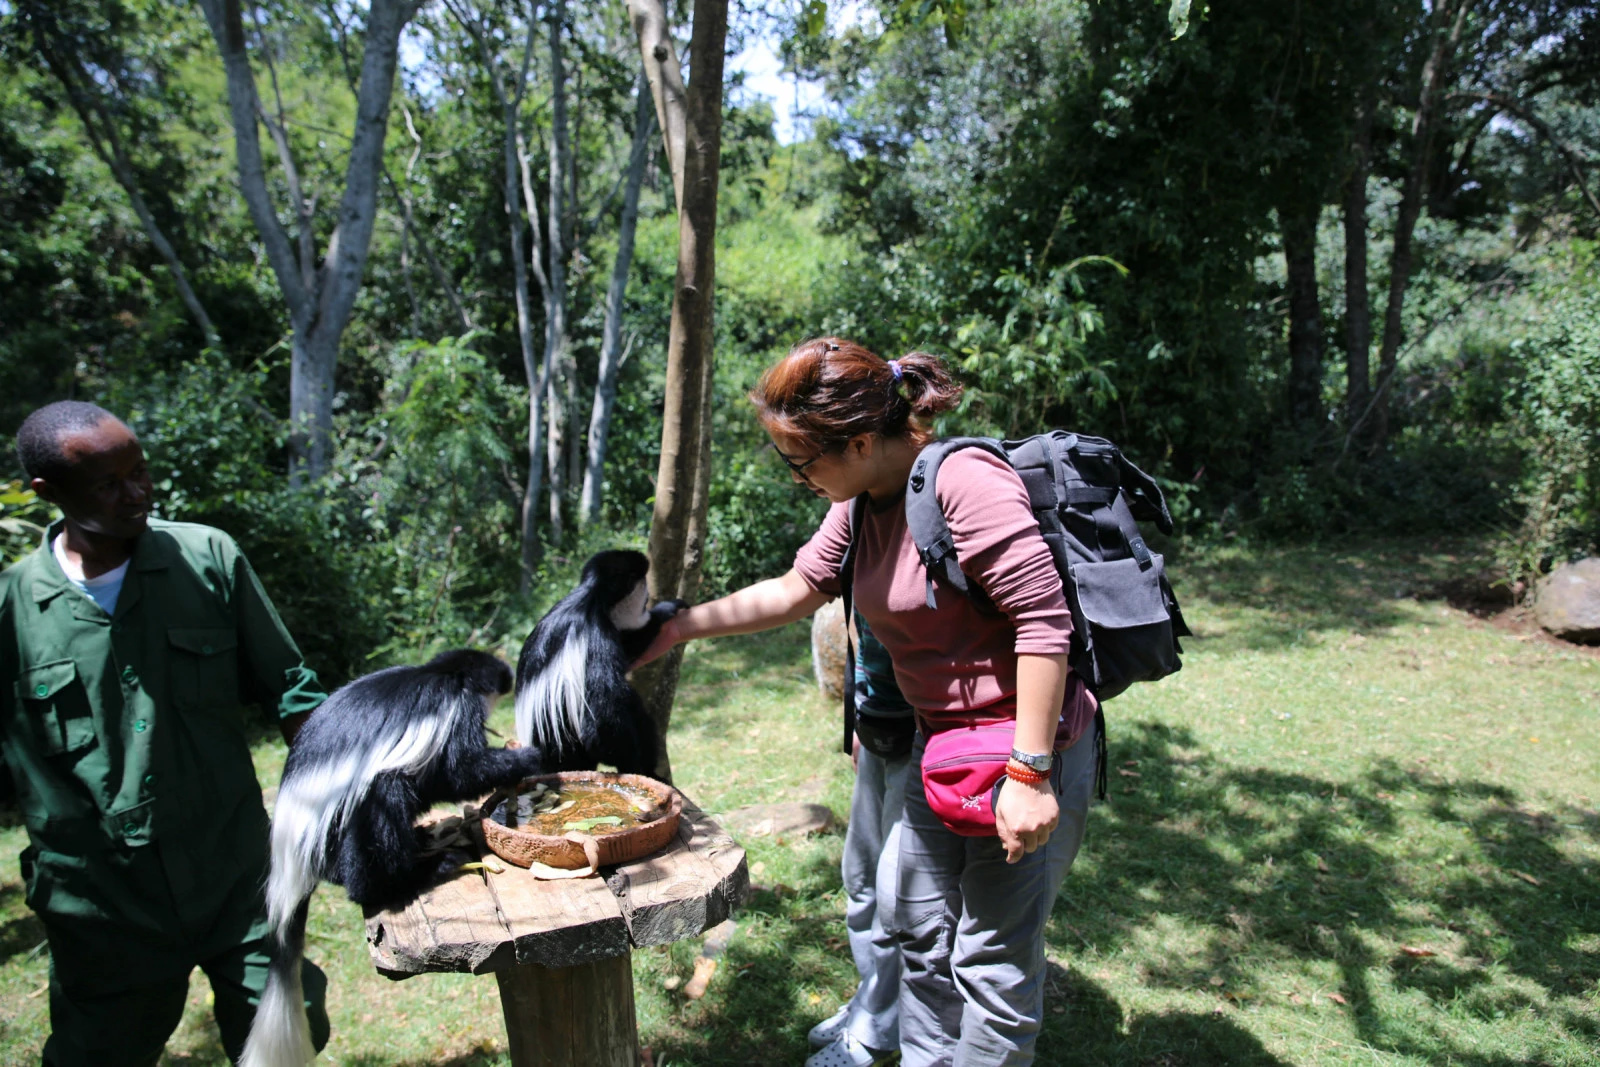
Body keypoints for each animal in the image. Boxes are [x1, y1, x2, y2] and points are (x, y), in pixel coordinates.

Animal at [241, 652, 544, 1067]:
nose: (492, 725)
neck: (444, 676)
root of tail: (290, 862)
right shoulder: (453, 712)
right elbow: (460, 771)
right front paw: (524, 758)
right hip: (349, 826)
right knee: (384, 796)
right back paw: (416, 874)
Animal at [515, 550, 684, 777]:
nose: (648, 599)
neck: (592, 598)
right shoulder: (597, 637)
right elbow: (603, 723)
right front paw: (632, 766)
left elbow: (627, 648)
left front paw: (663, 610)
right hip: (570, 750)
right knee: (625, 702)